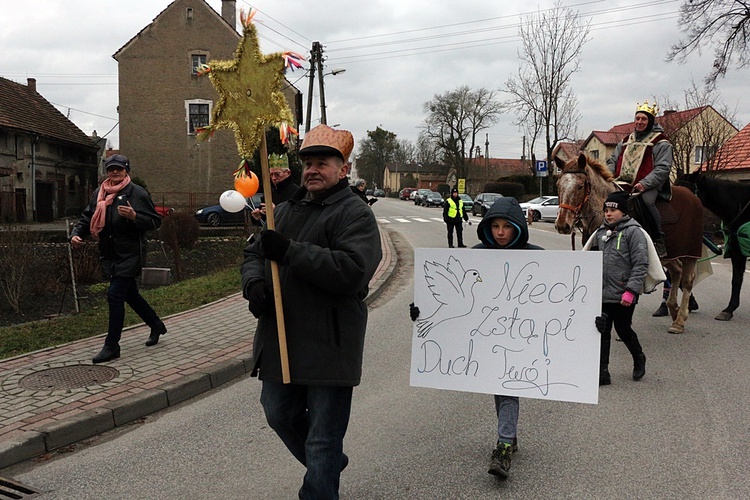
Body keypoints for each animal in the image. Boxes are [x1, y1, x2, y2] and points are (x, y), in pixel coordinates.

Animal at [556, 152, 708, 332]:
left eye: (580, 186)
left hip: (689, 252)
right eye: (558, 185)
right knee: (676, 271)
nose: (562, 225)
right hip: (669, 255)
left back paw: (680, 320)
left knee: (687, 280)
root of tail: (693, 197)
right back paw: (673, 310)